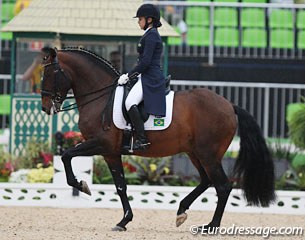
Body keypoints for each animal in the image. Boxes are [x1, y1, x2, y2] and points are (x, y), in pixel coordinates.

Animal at [39, 47, 274, 232]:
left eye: (49, 73)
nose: (45, 107)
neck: (101, 97)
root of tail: (230, 105)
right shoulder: (111, 152)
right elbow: (121, 186)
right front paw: (124, 221)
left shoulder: (101, 144)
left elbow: (67, 155)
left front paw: (81, 185)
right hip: (195, 153)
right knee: (207, 181)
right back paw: (181, 211)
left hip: (208, 154)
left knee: (223, 186)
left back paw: (211, 226)